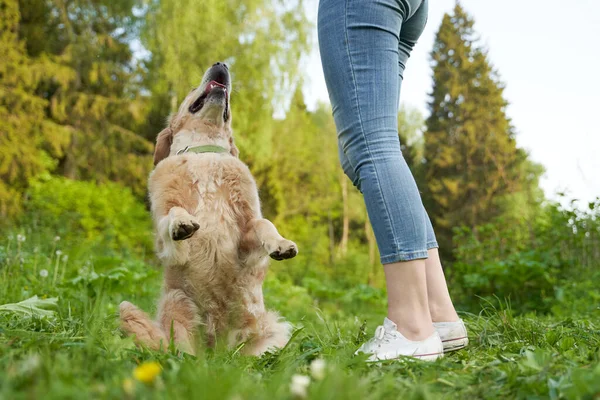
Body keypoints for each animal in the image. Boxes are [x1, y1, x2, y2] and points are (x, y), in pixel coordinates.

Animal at [120, 61, 298, 356]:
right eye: (193, 87)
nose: (221, 64)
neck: (205, 151)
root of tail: (217, 352)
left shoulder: (247, 235)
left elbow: (264, 224)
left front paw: (281, 244)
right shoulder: (166, 239)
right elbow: (172, 215)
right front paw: (181, 224)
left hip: (272, 332)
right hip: (175, 304)